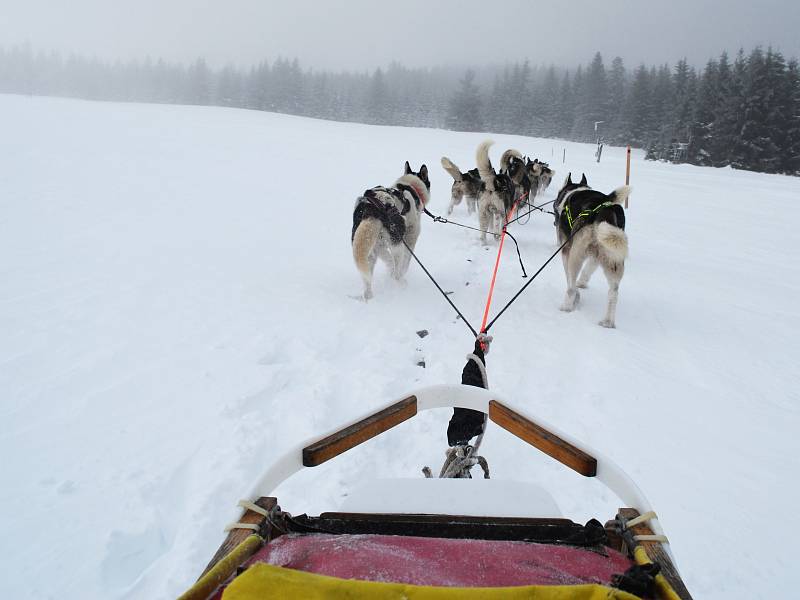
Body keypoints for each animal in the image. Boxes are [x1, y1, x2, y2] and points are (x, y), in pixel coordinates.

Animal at [346, 162, 428, 300]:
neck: (409, 186)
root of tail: (372, 209)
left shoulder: (380, 246)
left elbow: (387, 259)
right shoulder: (411, 237)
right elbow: (406, 261)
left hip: (369, 250)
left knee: (368, 278)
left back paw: (368, 296)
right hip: (397, 245)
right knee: (397, 272)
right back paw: (401, 283)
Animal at [552, 171, 628, 326]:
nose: (555, 204)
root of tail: (604, 211)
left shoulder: (566, 249)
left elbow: (569, 278)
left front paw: (576, 291)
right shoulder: (596, 256)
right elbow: (588, 270)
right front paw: (581, 283)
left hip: (576, 255)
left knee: (570, 288)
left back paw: (566, 307)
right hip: (614, 259)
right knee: (613, 293)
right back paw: (608, 322)